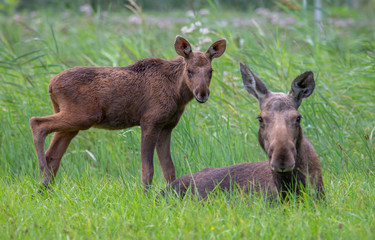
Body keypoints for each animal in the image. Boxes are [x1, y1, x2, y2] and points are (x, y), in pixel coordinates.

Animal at [29, 36, 226, 189]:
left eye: (210, 71)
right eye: (189, 71)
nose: (202, 94)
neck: (177, 94)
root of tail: (50, 85)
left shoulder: (167, 126)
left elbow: (169, 169)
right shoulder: (149, 121)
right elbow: (148, 169)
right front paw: (147, 197)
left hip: (72, 122)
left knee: (53, 155)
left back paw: (44, 190)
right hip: (82, 116)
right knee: (37, 122)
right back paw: (41, 171)